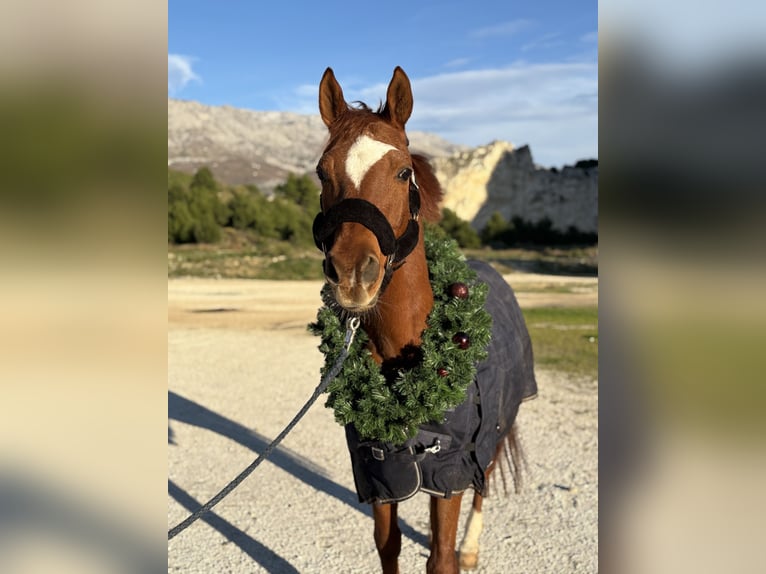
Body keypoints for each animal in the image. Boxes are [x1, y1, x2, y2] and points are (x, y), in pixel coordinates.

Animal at [312, 66, 537, 574]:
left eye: (403, 172)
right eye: (322, 171)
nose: (352, 274)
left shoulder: (449, 469)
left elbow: (441, 559)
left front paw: (456, 550)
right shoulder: (378, 473)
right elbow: (388, 544)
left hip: (494, 431)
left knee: (484, 483)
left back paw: (471, 546)